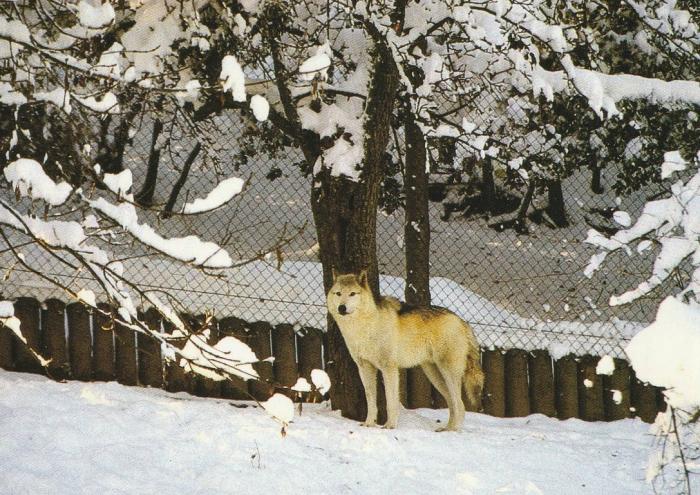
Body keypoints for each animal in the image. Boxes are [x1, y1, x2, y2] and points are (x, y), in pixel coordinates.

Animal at [327, 269, 484, 431]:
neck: (364, 326)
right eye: (338, 293)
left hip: (448, 373)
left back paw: (452, 430)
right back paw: (446, 428)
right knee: (453, 403)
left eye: (352, 293)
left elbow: (391, 402)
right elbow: (370, 399)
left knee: (460, 404)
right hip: (434, 375)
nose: (342, 308)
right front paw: (368, 424)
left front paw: (390, 426)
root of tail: (462, 321)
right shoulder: (364, 368)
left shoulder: (389, 369)